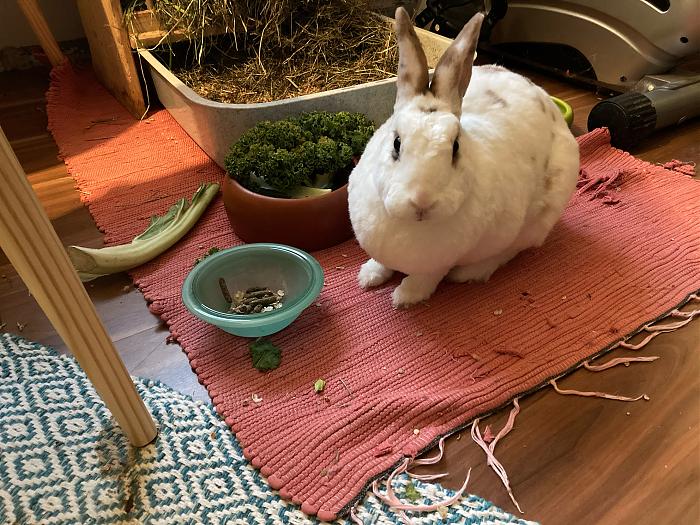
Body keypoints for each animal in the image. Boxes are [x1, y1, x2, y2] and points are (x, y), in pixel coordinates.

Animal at [347, 7, 580, 308]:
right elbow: (380, 262)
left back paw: (468, 273)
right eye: (396, 142)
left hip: (539, 218)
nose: (421, 201)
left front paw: (403, 297)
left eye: (455, 146)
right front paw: (368, 277)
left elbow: (425, 279)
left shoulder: (439, 264)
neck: (412, 225)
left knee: (512, 249)